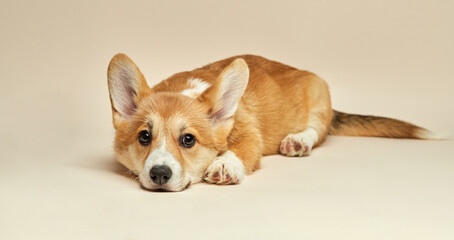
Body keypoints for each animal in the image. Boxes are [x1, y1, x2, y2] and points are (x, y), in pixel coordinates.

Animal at [106, 54, 436, 191]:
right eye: (144, 137)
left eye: (188, 140)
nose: (160, 174)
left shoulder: (250, 134)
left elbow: (239, 151)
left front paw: (225, 165)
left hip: (319, 94)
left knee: (317, 131)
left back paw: (298, 140)